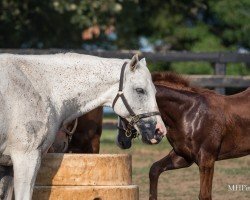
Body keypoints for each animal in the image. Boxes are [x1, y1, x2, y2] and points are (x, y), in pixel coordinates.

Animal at [117, 73, 250, 200]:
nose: (121, 142)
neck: (188, 114)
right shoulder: (183, 156)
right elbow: (154, 170)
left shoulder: (207, 159)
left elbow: (204, 195)